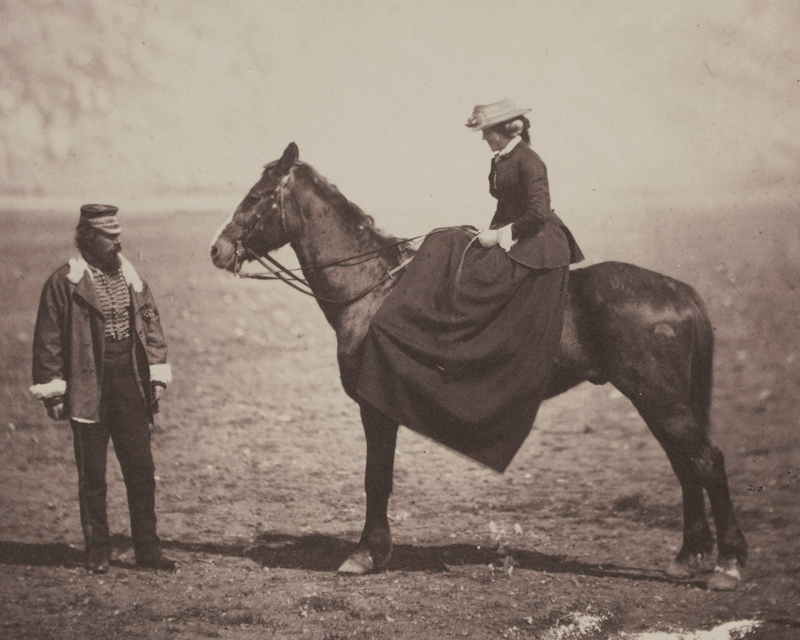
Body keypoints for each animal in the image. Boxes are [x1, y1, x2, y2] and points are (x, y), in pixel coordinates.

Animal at [209, 144, 748, 592]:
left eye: (257, 195)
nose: (217, 249)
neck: (374, 288)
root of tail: (680, 291)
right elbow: (380, 476)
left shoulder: (374, 407)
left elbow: (375, 477)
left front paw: (365, 555)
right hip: (657, 400)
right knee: (685, 465)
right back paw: (688, 558)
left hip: (659, 398)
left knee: (705, 462)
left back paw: (727, 565)